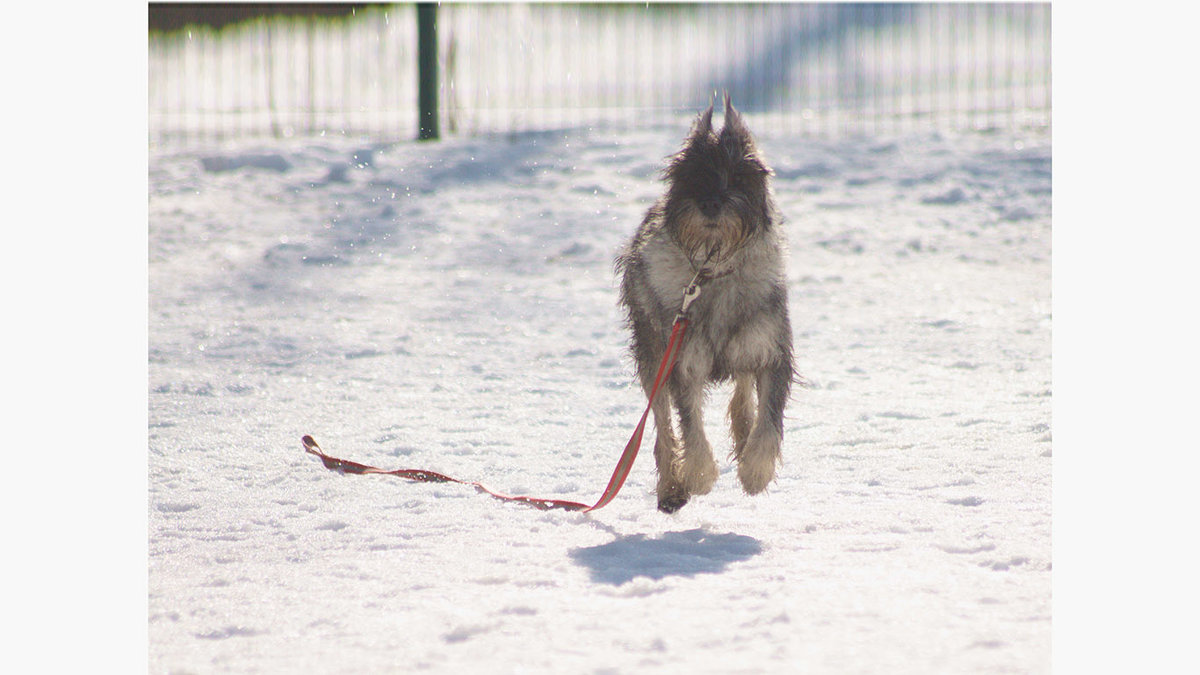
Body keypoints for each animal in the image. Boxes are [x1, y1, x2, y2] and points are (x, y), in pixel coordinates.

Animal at [619, 93, 796, 509]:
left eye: (738, 175)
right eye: (692, 175)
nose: (711, 204)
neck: (714, 272)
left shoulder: (773, 351)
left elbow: (769, 417)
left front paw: (755, 471)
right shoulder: (683, 361)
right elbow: (690, 425)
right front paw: (698, 476)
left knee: (743, 389)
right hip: (652, 355)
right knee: (661, 425)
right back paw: (672, 487)